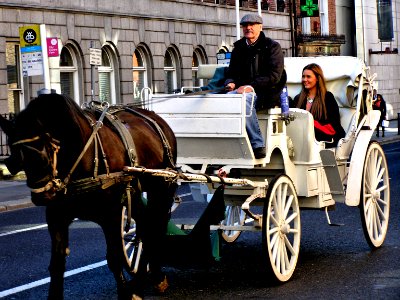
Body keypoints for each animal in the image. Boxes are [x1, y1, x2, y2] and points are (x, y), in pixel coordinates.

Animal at [0, 93, 177, 298]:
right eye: (14, 160)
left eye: (42, 155)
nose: (41, 196)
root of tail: (155, 118)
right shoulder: (56, 216)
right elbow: (57, 265)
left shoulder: (111, 214)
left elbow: (114, 258)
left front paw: (125, 292)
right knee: (146, 225)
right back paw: (146, 278)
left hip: (162, 188)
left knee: (156, 226)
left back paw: (149, 278)